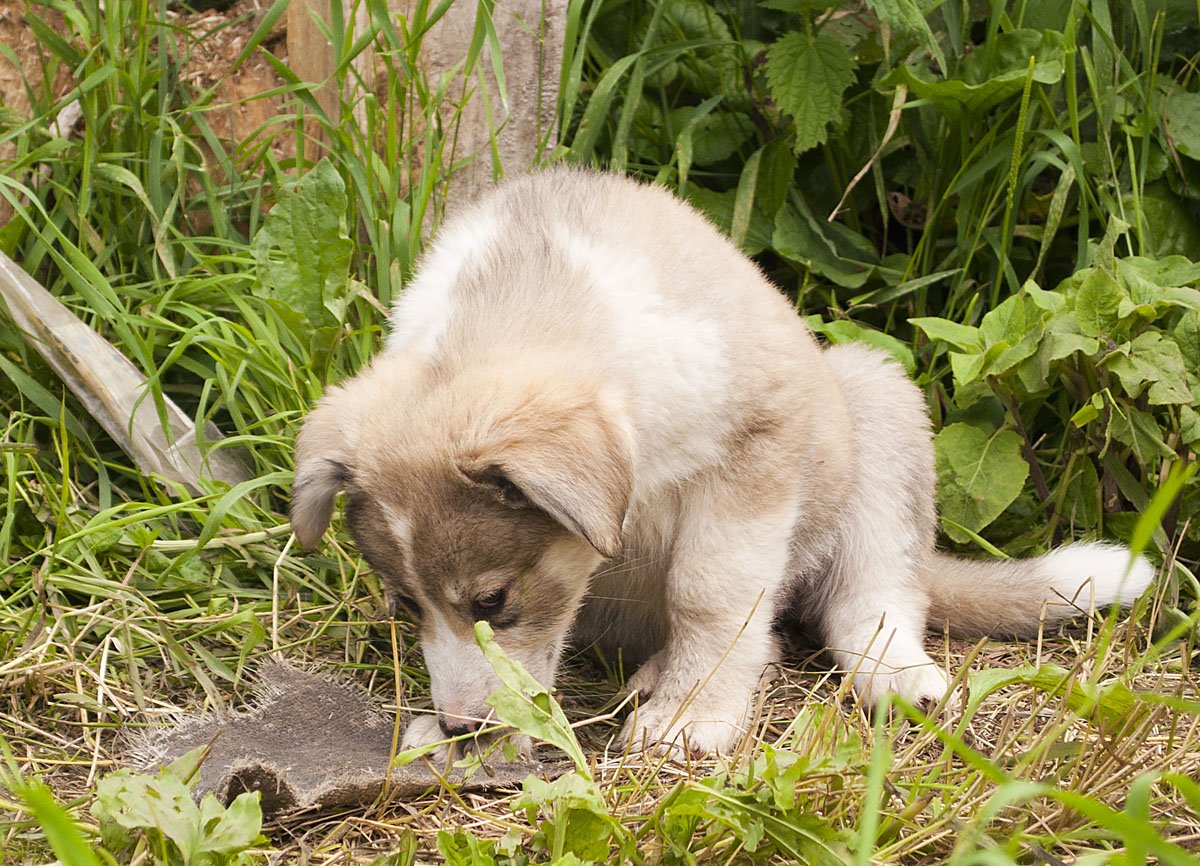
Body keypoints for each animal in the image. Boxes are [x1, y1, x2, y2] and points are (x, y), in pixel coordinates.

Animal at [288, 165, 1152, 753]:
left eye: (494, 601)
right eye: (404, 606)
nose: (462, 729)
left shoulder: (754, 454)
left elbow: (711, 592)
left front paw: (693, 715)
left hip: (872, 402)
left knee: (869, 596)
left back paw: (890, 674)